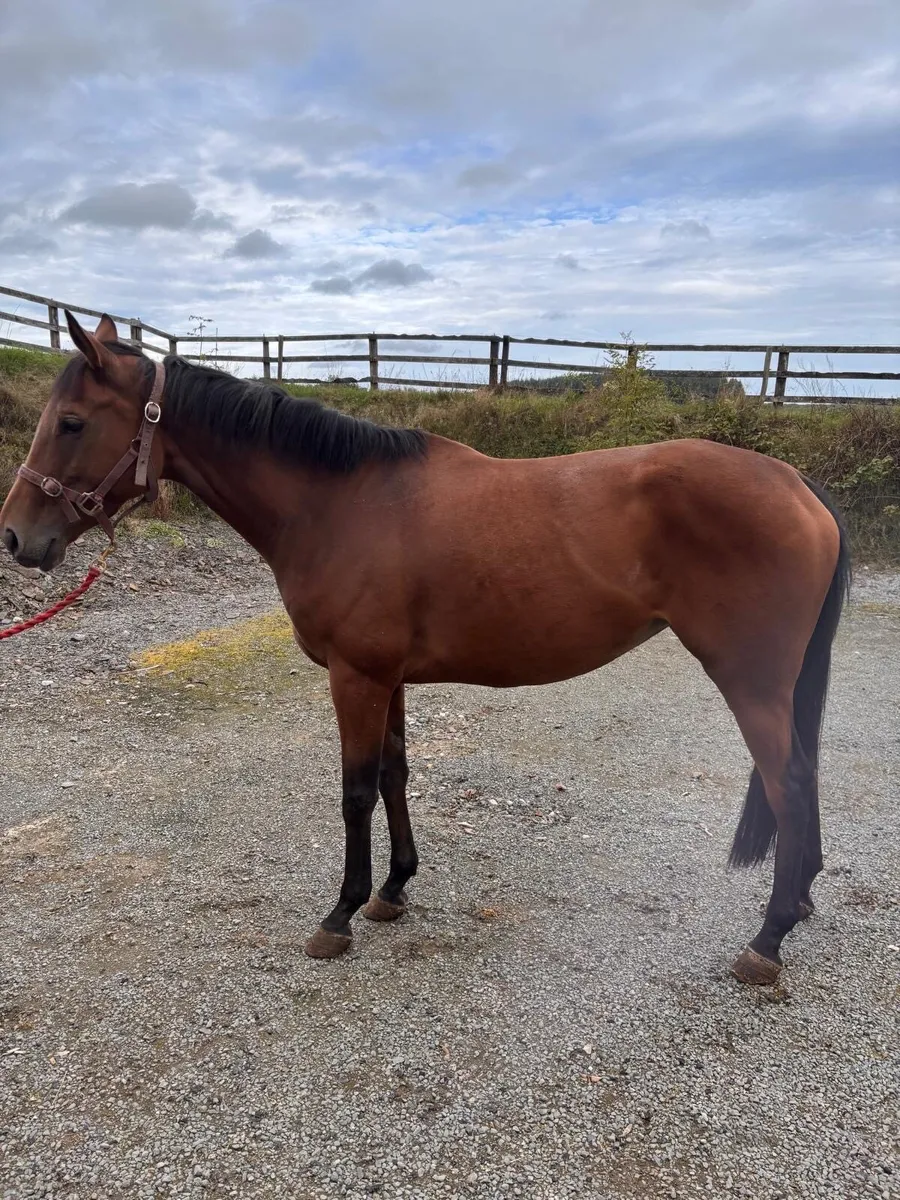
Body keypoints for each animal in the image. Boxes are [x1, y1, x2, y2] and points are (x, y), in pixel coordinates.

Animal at [0, 312, 850, 984]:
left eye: (72, 421)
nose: (15, 538)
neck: (338, 501)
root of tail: (797, 484)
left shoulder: (356, 677)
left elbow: (355, 790)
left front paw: (339, 914)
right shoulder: (391, 678)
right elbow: (396, 774)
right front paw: (393, 890)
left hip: (752, 682)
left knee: (790, 781)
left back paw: (768, 939)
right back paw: (799, 900)